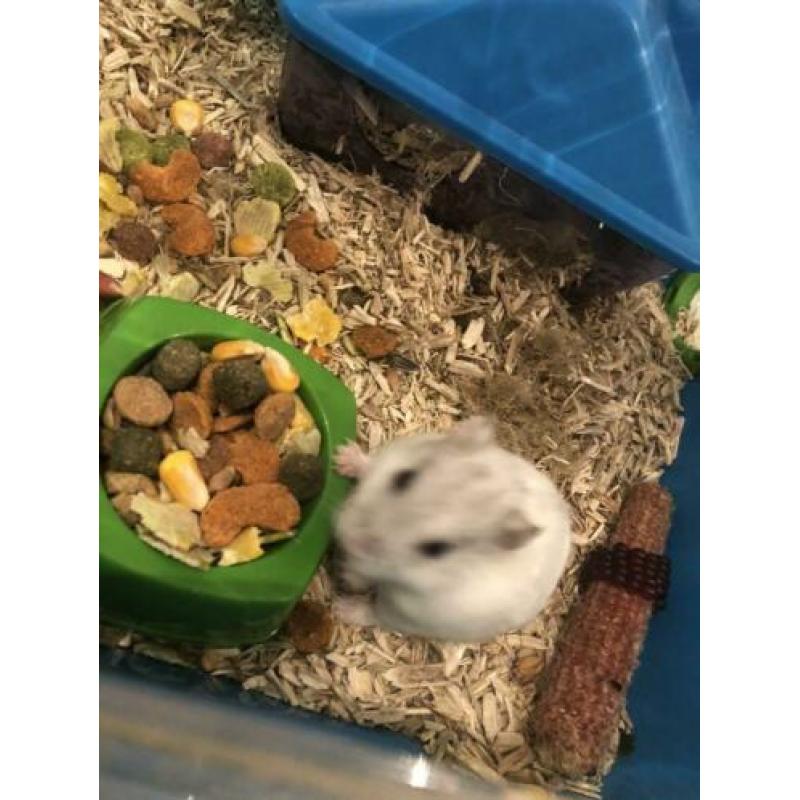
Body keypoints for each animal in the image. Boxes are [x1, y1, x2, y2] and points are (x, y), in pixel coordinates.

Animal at [332, 417, 572, 642]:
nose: (351, 541)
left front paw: (341, 607)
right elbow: (372, 465)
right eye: (403, 477)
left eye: (436, 549)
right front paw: (342, 455)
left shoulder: (409, 613)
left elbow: (375, 613)